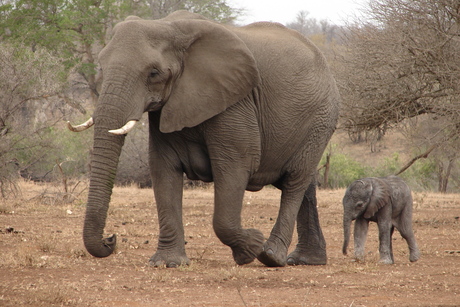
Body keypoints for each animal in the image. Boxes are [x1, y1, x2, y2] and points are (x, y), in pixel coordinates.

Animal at [69, 10, 342, 268]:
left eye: (154, 73)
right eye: (102, 66)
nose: (111, 239)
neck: (168, 26)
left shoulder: (234, 103)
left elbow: (235, 166)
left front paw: (251, 247)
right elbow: (163, 169)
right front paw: (167, 262)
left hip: (321, 118)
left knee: (295, 181)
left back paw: (271, 256)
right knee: (304, 184)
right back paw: (306, 259)